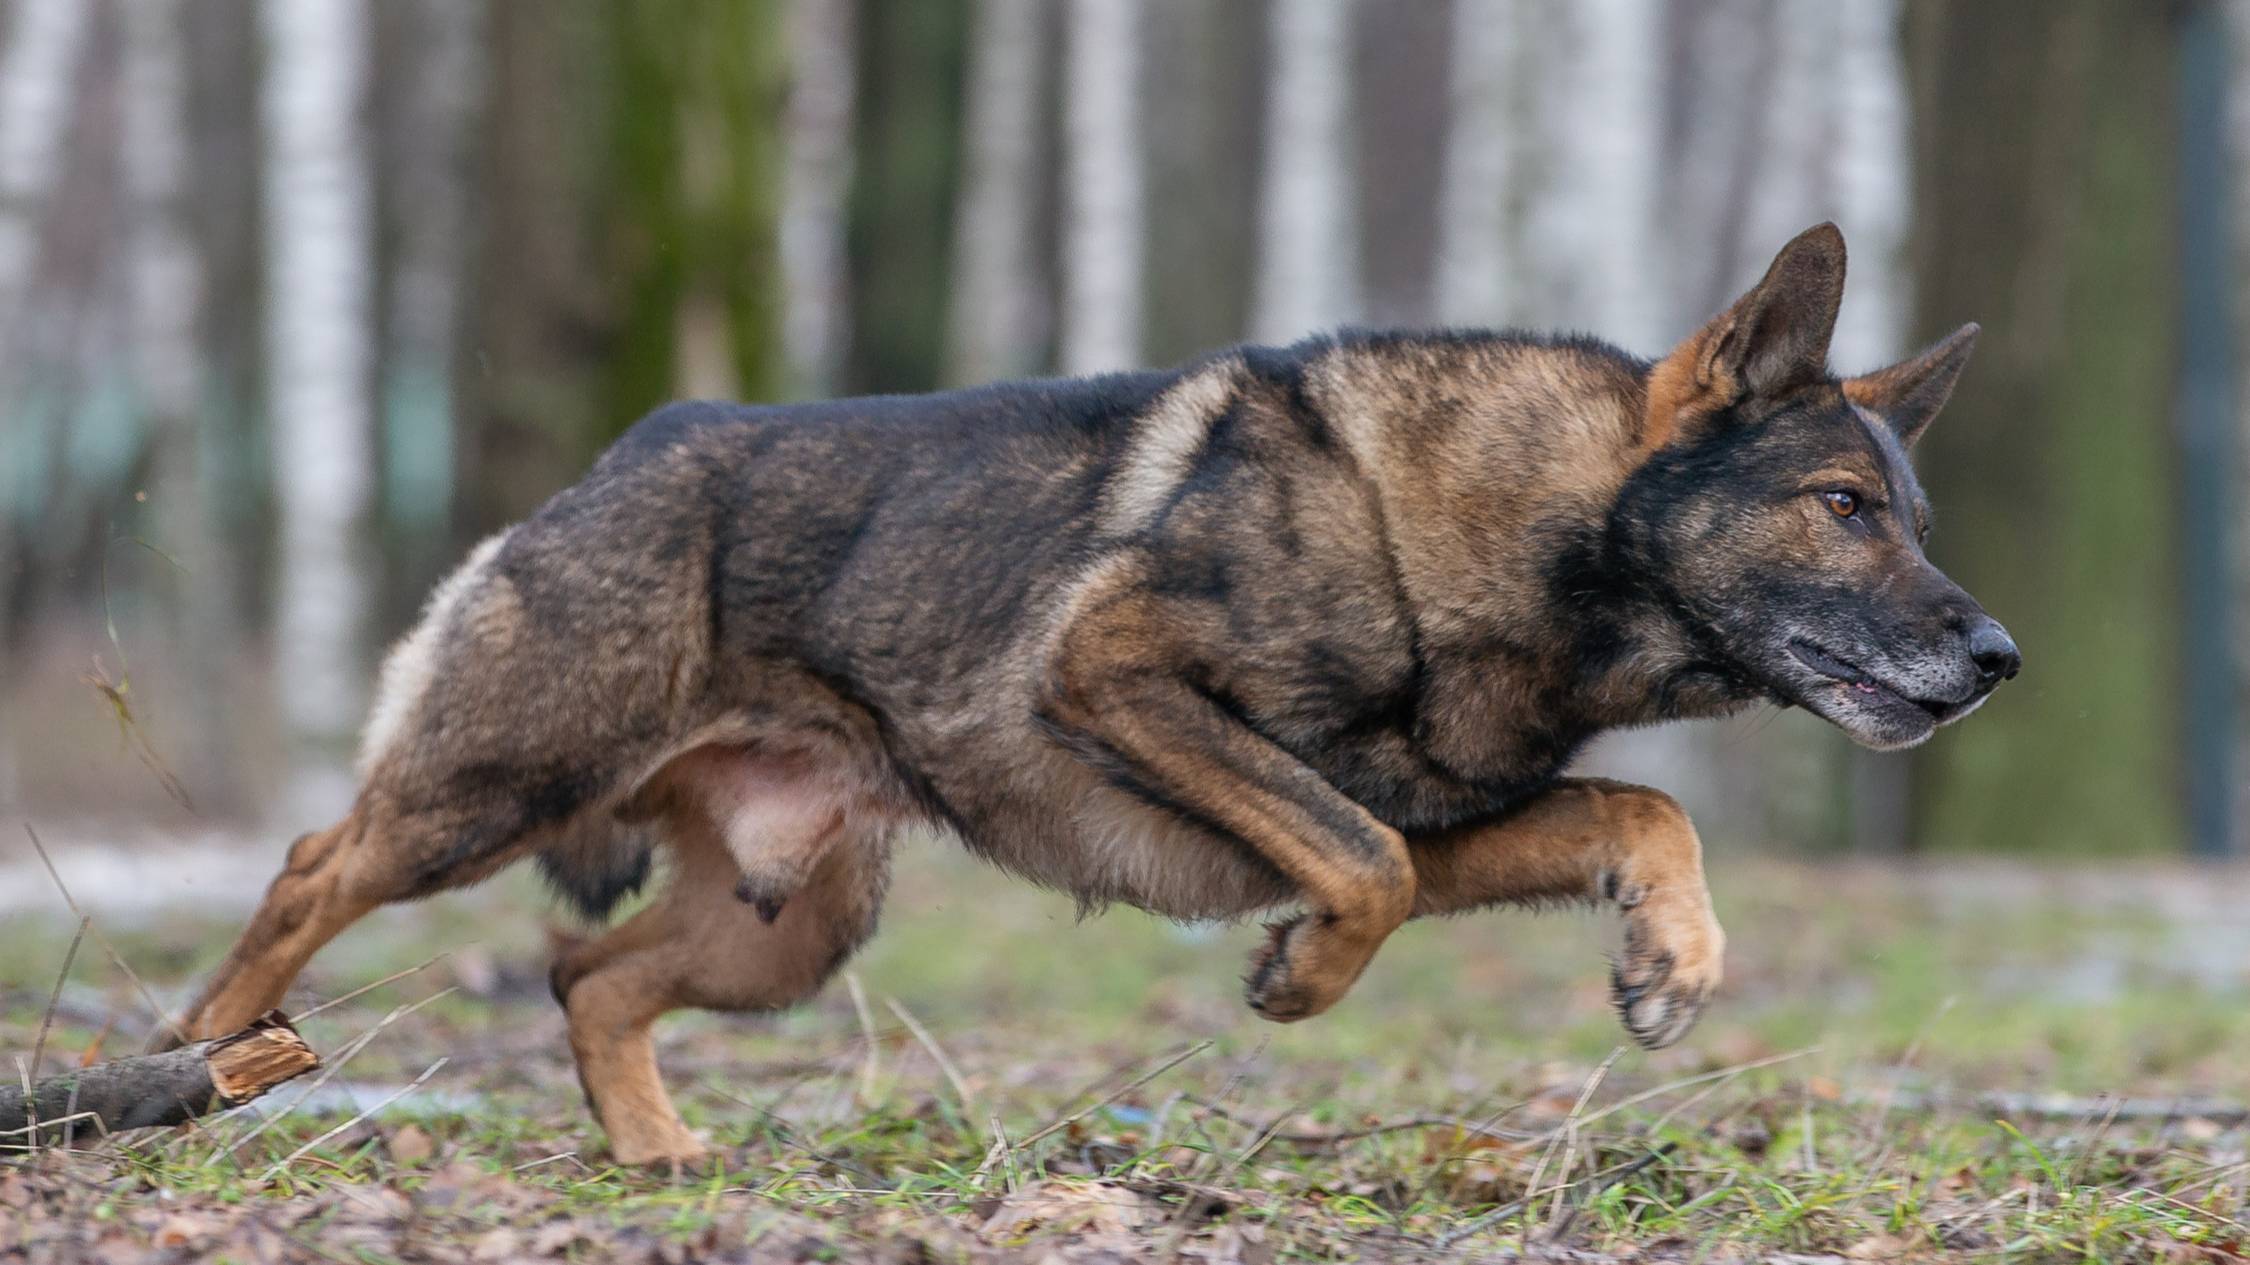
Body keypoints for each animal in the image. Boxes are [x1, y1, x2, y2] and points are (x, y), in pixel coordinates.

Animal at [166, 226, 2016, 1161]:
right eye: (1839, 508)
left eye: (1909, 516)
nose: (1998, 659)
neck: (1500, 533)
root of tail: (629, 453)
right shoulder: (1118, 674)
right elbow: (1367, 869)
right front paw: (1303, 981)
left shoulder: (1438, 811)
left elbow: (1628, 810)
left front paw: (1669, 960)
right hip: (492, 793)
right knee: (312, 872)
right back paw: (195, 1067)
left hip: (788, 929)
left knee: (585, 977)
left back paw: (656, 1154)